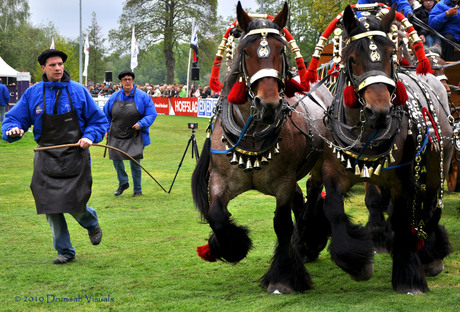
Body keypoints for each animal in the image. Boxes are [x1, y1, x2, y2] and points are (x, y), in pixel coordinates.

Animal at [190, 2, 330, 294]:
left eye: (281, 50)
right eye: (246, 51)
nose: (268, 105)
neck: (252, 134)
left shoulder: (284, 181)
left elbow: (282, 224)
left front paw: (283, 277)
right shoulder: (219, 179)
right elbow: (216, 215)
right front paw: (233, 246)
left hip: (320, 162)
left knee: (312, 192)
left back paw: (309, 239)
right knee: (301, 198)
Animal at [294, 4, 452, 292]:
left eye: (391, 54)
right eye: (352, 58)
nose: (378, 111)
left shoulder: (403, 179)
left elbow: (402, 216)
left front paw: (408, 275)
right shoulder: (334, 171)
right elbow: (334, 208)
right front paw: (355, 261)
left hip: (440, 164)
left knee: (432, 202)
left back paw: (431, 253)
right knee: (313, 188)